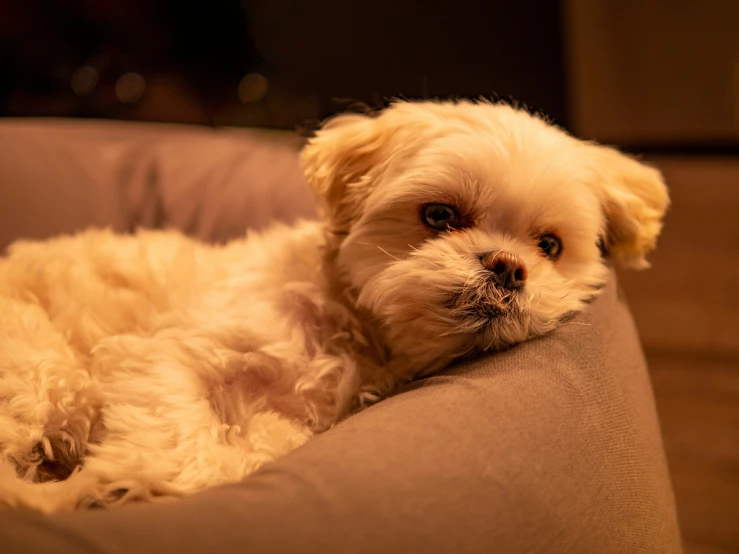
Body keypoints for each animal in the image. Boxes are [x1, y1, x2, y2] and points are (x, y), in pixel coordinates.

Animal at [0, 98, 672, 508]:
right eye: (439, 216)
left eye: (549, 246)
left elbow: (254, 445)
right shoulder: (165, 353)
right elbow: (184, 444)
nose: (508, 267)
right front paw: (133, 483)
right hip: (44, 375)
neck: (349, 327)